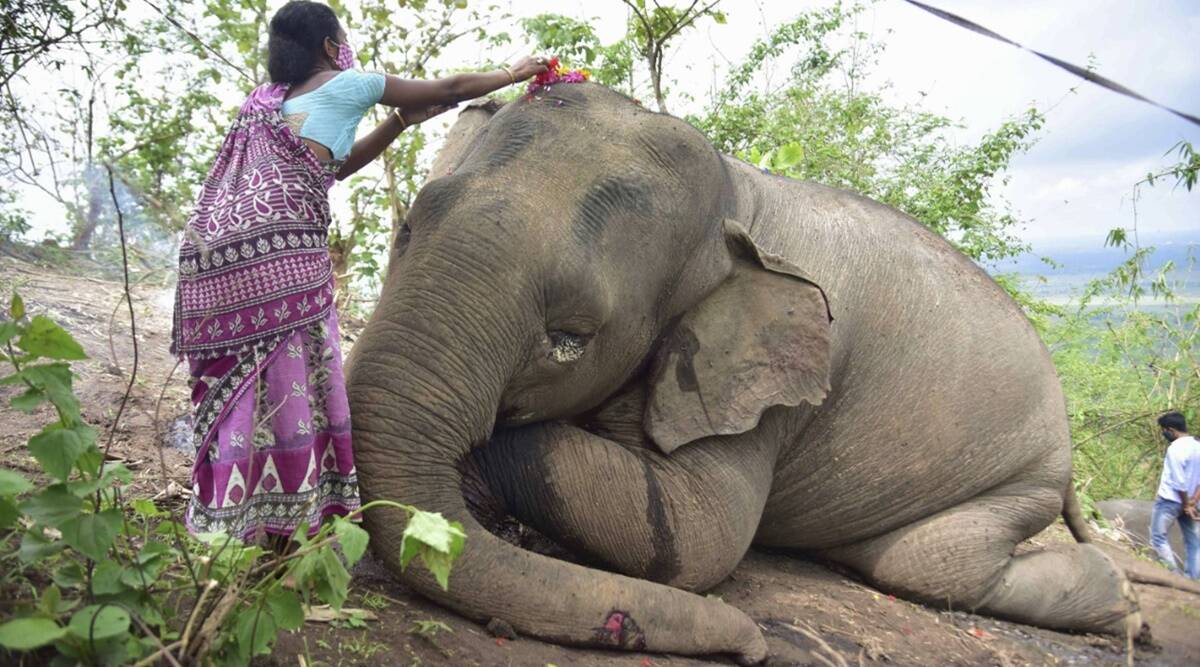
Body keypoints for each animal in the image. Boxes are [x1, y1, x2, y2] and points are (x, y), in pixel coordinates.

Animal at [346, 83, 1140, 663]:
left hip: (1022, 474)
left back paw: (1128, 611)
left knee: (929, 563)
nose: (755, 648)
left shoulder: (777, 388)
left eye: (571, 337)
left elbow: (702, 536)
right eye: (407, 229)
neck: (736, 190)